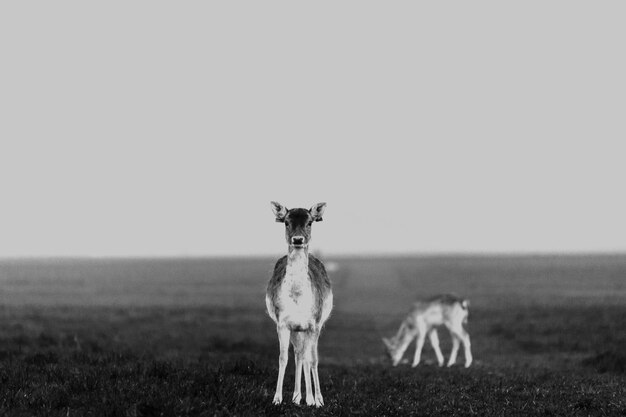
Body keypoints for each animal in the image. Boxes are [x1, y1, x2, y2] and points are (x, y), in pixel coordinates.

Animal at [264, 202, 332, 406]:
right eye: (286, 222)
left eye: (310, 222)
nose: (298, 239)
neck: (298, 297)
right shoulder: (283, 323)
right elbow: (283, 357)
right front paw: (277, 398)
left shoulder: (314, 324)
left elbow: (314, 359)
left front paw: (317, 400)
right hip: (296, 330)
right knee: (298, 354)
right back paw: (296, 396)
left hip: (307, 328)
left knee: (305, 355)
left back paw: (307, 397)